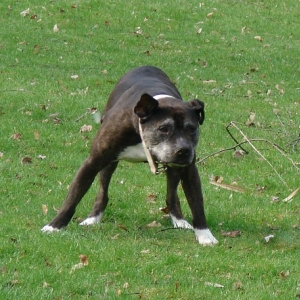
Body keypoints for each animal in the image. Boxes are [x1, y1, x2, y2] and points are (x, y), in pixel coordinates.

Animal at [41, 64, 218, 245]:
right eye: (163, 129)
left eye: (192, 129)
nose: (183, 150)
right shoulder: (92, 162)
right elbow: (72, 197)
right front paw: (54, 226)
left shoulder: (189, 170)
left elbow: (197, 203)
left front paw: (205, 235)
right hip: (108, 164)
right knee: (102, 192)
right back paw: (93, 218)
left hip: (173, 168)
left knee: (171, 195)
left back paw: (179, 220)